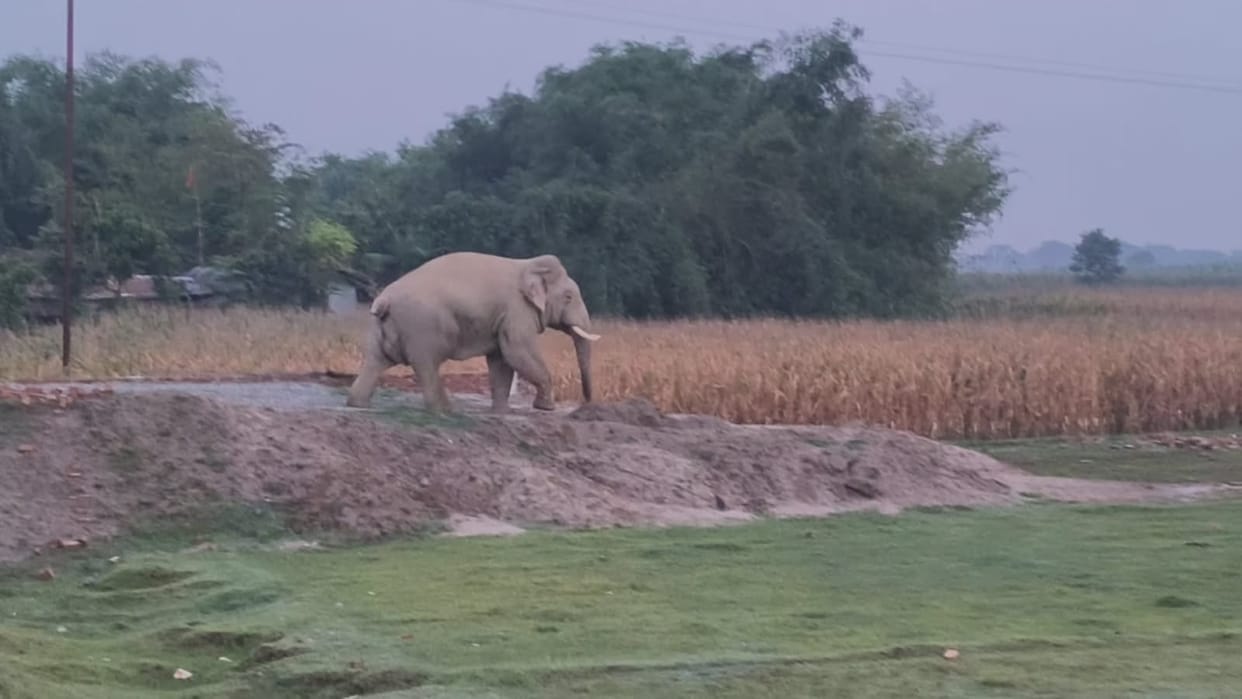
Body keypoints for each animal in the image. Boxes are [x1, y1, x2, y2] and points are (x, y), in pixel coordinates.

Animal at [345, 251, 601, 413]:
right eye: (569, 297)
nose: (587, 402)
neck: (527, 265)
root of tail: (384, 299)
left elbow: (501, 359)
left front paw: (501, 411)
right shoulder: (516, 310)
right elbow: (517, 351)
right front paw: (546, 408)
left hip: (383, 329)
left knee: (376, 360)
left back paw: (358, 405)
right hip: (422, 327)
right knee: (427, 364)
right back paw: (444, 410)